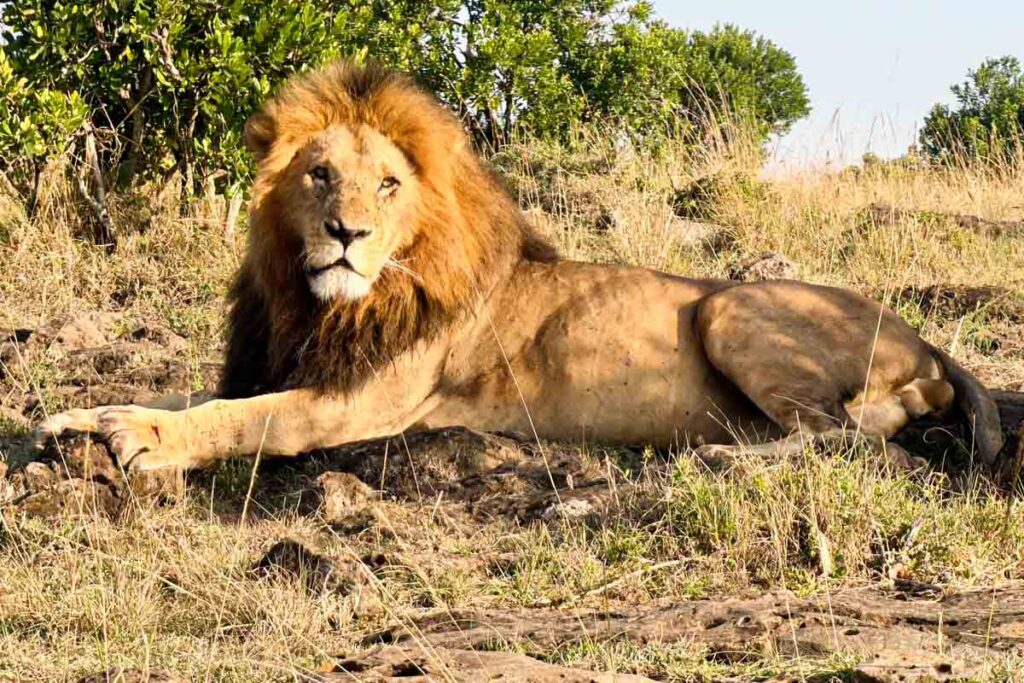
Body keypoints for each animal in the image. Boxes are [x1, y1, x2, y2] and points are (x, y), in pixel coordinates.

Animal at [37, 61, 1005, 472]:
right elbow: (186, 392)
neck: (317, 303)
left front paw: (142, 439)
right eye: (319, 175)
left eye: (388, 184)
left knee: (848, 436)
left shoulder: (362, 402)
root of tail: (925, 340)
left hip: (728, 309)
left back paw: (727, 455)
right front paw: (79, 413)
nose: (347, 233)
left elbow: (243, 418)